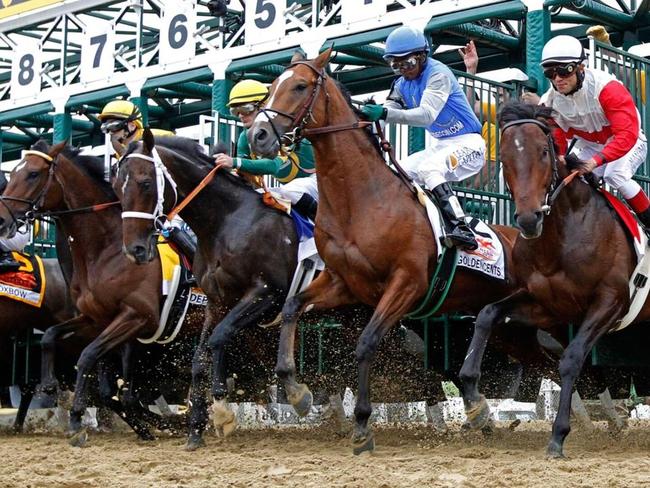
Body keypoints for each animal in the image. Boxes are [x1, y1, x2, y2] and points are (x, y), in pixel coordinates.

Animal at [0, 139, 200, 444]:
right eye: (13, 173)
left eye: (33, 174)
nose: (1, 220)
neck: (107, 250)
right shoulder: (96, 319)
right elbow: (50, 337)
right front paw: (50, 384)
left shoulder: (137, 317)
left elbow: (88, 358)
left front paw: (76, 418)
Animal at [115, 131, 298, 450]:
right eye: (116, 186)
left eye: (145, 182)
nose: (134, 249)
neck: (228, 222)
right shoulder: (217, 301)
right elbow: (200, 357)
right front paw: (196, 428)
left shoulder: (267, 292)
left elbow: (218, 337)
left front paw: (221, 409)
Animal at [246, 49, 528, 454]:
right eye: (271, 87)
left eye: (299, 86)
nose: (258, 135)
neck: (361, 198)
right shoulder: (344, 283)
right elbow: (291, 308)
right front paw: (297, 393)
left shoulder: (406, 283)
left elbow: (366, 343)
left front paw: (363, 425)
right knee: (486, 325)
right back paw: (478, 408)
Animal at [456, 102, 648, 458]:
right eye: (504, 157)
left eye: (544, 152)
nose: (529, 219)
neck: (562, 235)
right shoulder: (545, 304)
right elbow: (487, 315)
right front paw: (476, 404)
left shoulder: (611, 302)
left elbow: (571, 360)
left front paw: (558, 436)